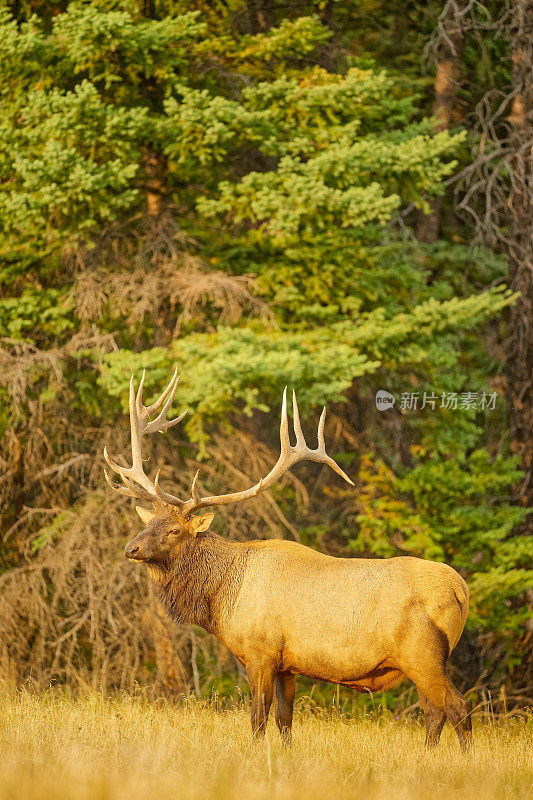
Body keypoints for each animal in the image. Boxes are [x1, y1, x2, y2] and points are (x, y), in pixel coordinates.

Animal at [106, 368, 472, 752]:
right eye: (148, 523)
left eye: (175, 529)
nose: (131, 549)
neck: (221, 598)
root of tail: (461, 591)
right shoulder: (287, 665)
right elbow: (285, 720)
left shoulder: (261, 652)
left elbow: (258, 717)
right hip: (425, 661)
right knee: (434, 713)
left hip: (422, 654)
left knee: (458, 707)